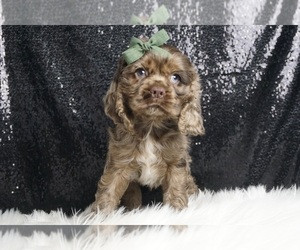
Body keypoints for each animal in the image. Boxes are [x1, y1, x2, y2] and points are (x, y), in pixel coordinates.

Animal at [92, 28, 205, 213]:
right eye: (141, 72)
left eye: (175, 77)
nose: (157, 90)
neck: (151, 127)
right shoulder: (119, 163)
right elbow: (108, 191)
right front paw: (100, 217)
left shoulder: (176, 163)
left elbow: (176, 190)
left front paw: (177, 213)